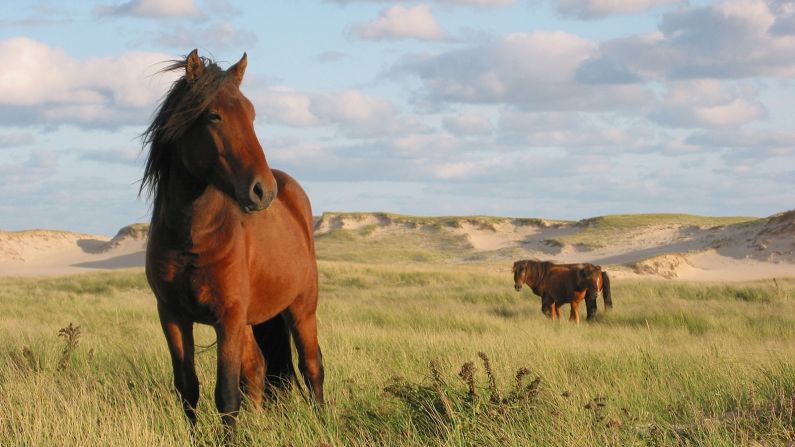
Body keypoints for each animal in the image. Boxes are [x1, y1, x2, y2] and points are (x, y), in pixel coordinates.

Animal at [140, 50, 323, 431]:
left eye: (251, 114)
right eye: (213, 115)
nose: (262, 190)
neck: (192, 238)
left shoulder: (229, 317)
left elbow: (226, 394)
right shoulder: (173, 317)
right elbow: (188, 389)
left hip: (302, 310)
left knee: (312, 368)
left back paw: (323, 423)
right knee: (257, 369)